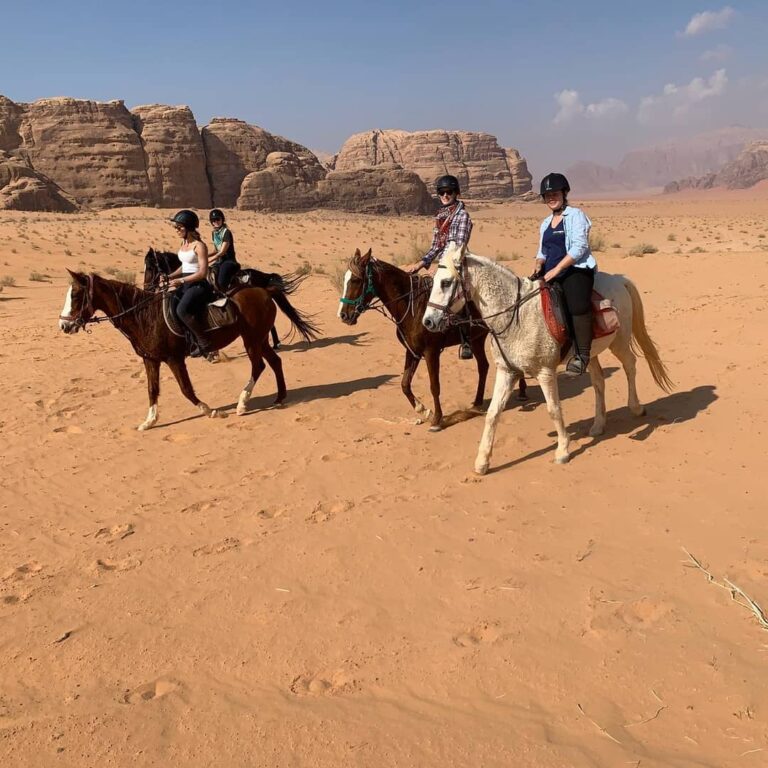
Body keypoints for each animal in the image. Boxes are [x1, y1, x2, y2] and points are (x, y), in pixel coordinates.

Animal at [59, 268, 318, 426]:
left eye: (77, 295)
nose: (64, 325)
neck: (145, 315)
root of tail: (264, 290)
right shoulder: (150, 359)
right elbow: (152, 390)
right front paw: (149, 421)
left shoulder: (174, 359)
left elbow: (186, 389)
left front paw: (211, 410)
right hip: (260, 338)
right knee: (275, 361)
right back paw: (279, 397)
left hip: (252, 339)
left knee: (259, 365)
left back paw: (243, 403)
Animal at [340, 249, 524, 428]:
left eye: (356, 280)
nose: (343, 315)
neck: (413, 308)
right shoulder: (412, 351)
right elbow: (405, 384)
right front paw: (424, 411)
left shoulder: (431, 352)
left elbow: (434, 386)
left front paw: (437, 419)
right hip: (477, 340)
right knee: (484, 366)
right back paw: (479, 402)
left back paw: (521, 393)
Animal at [420, 246, 672, 474]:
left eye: (445, 283)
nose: (428, 321)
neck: (516, 316)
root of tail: (620, 280)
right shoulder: (507, 371)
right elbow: (493, 414)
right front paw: (482, 461)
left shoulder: (545, 372)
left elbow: (553, 409)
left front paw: (562, 450)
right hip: (590, 353)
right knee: (599, 381)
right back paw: (598, 425)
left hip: (618, 341)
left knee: (630, 365)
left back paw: (636, 408)